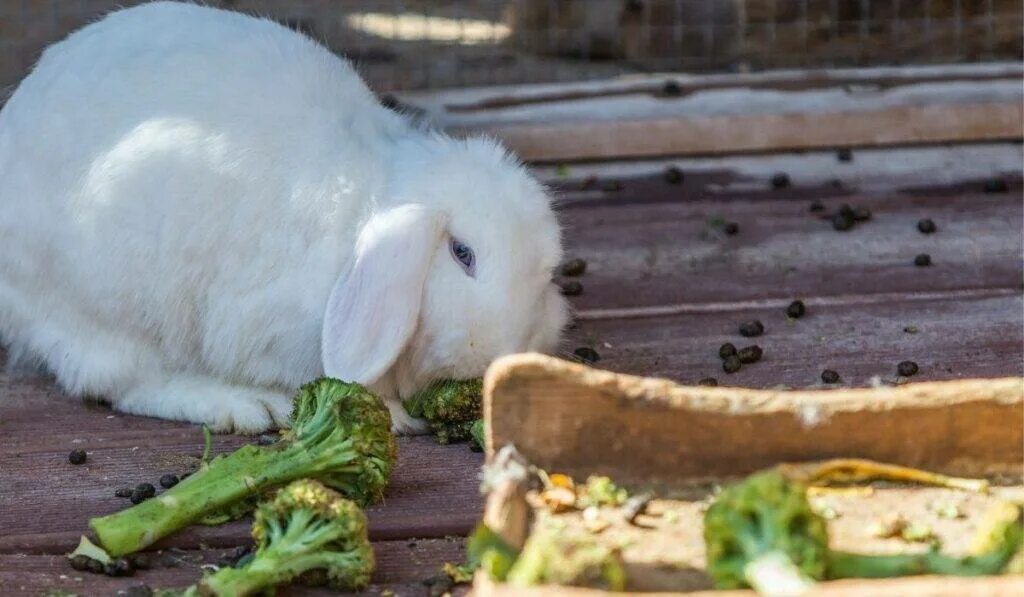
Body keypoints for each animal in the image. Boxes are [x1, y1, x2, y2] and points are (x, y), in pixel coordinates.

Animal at [0, 3, 569, 434]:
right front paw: (395, 416)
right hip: (112, 301)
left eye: (546, 275)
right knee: (118, 381)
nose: (503, 355)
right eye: (462, 254)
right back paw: (240, 405)